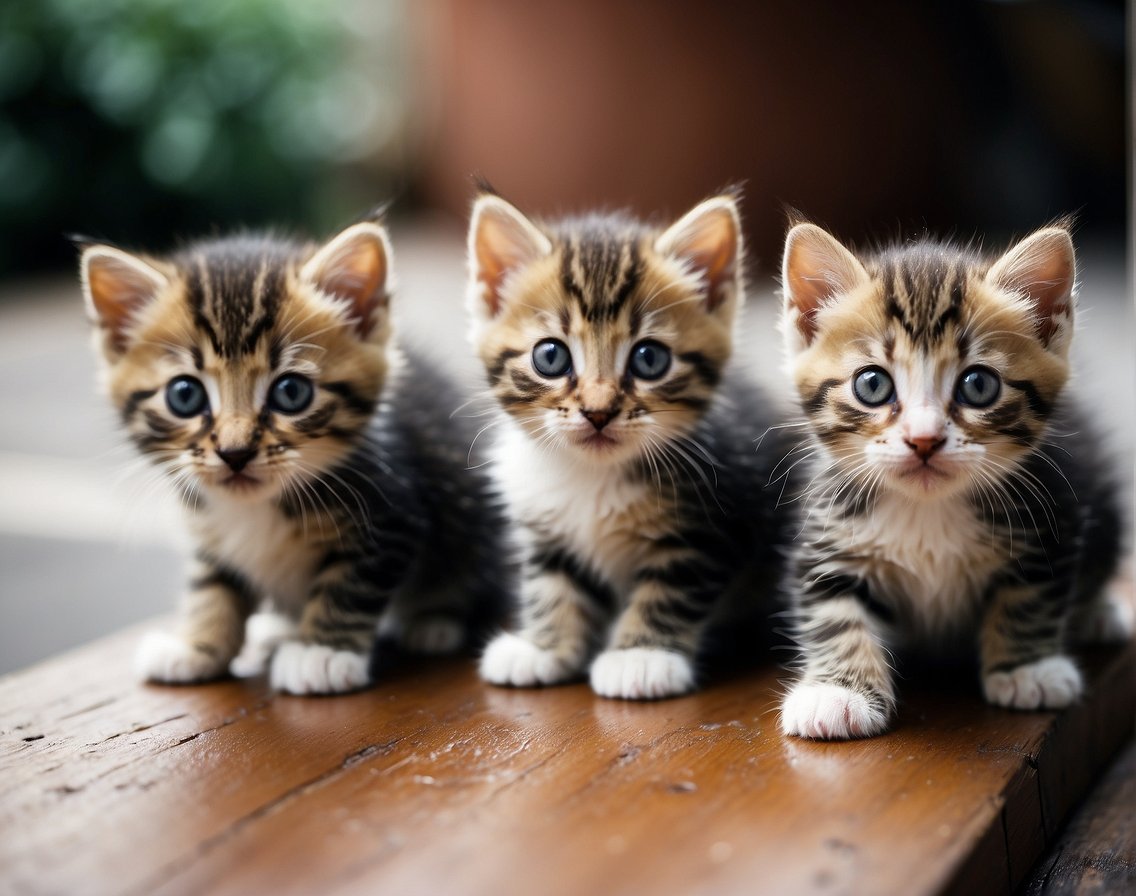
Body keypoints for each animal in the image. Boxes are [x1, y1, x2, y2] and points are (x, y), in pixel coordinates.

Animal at [77, 216, 504, 690]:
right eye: (184, 395)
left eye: (291, 392)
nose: (235, 452)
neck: (256, 507)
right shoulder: (207, 528)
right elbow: (212, 585)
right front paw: (197, 646)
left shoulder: (392, 514)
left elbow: (349, 585)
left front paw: (322, 652)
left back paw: (432, 623)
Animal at [463, 188, 790, 699]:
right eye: (550, 356)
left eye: (649, 359)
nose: (598, 411)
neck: (590, 474)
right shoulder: (545, 529)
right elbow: (550, 585)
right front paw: (543, 648)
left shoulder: (713, 522)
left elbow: (670, 589)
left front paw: (641, 657)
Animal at [777, 220, 1131, 735]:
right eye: (872, 384)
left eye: (978, 385)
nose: (924, 439)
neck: (928, 510)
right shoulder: (827, 533)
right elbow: (833, 613)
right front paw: (837, 693)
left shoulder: (1053, 515)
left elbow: (1030, 598)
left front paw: (1027, 670)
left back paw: (1100, 615)